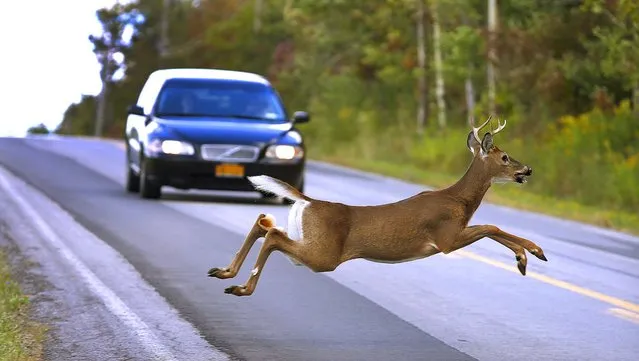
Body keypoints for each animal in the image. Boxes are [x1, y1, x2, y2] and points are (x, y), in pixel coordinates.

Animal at [210, 116, 552, 296]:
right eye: (504, 157)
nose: (528, 170)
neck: (459, 200)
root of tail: (308, 201)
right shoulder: (446, 237)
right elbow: (491, 226)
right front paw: (531, 253)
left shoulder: (453, 235)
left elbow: (491, 228)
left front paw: (525, 257)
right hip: (324, 254)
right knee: (272, 235)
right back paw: (242, 288)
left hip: (309, 239)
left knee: (263, 222)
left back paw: (225, 273)